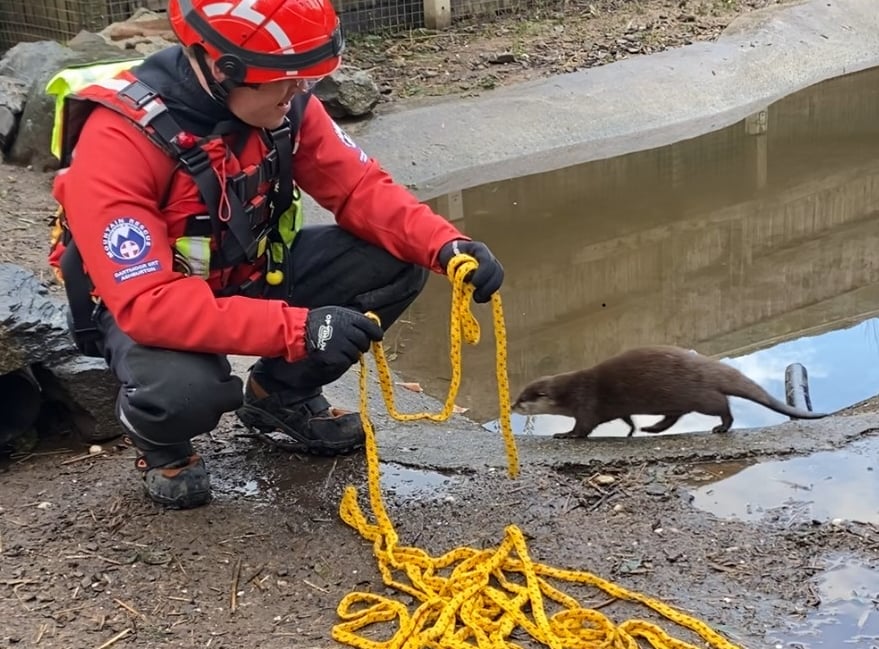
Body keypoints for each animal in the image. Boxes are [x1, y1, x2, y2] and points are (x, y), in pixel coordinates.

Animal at [511, 345, 828, 439]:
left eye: (523, 399)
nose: (511, 406)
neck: (570, 391)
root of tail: (707, 367)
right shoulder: (615, 408)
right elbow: (626, 418)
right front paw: (631, 431)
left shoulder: (586, 404)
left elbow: (583, 427)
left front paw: (564, 434)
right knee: (674, 416)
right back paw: (651, 428)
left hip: (698, 395)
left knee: (722, 405)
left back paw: (721, 428)